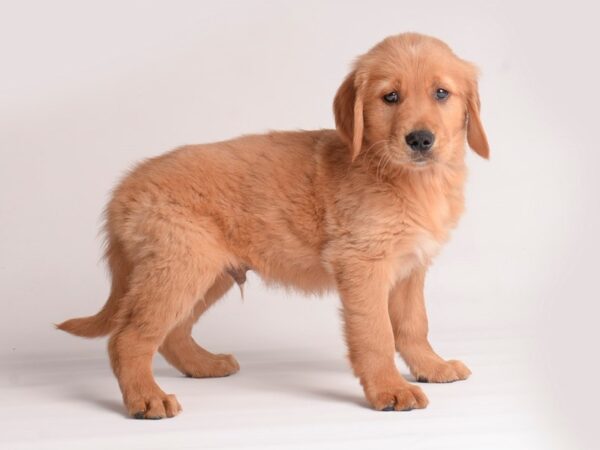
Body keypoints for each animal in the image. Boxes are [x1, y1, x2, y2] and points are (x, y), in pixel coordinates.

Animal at [57, 31, 488, 418]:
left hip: (208, 273)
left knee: (171, 333)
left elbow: (414, 324)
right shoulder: (362, 264)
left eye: (441, 94)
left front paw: (432, 367)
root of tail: (125, 187)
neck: (408, 180)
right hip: (179, 267)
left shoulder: (411, 267)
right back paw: (147, 398)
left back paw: (204, 366)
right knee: (129, 337)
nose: (420, 139)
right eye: (391, 97)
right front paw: (390, 390)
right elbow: (377, 333)